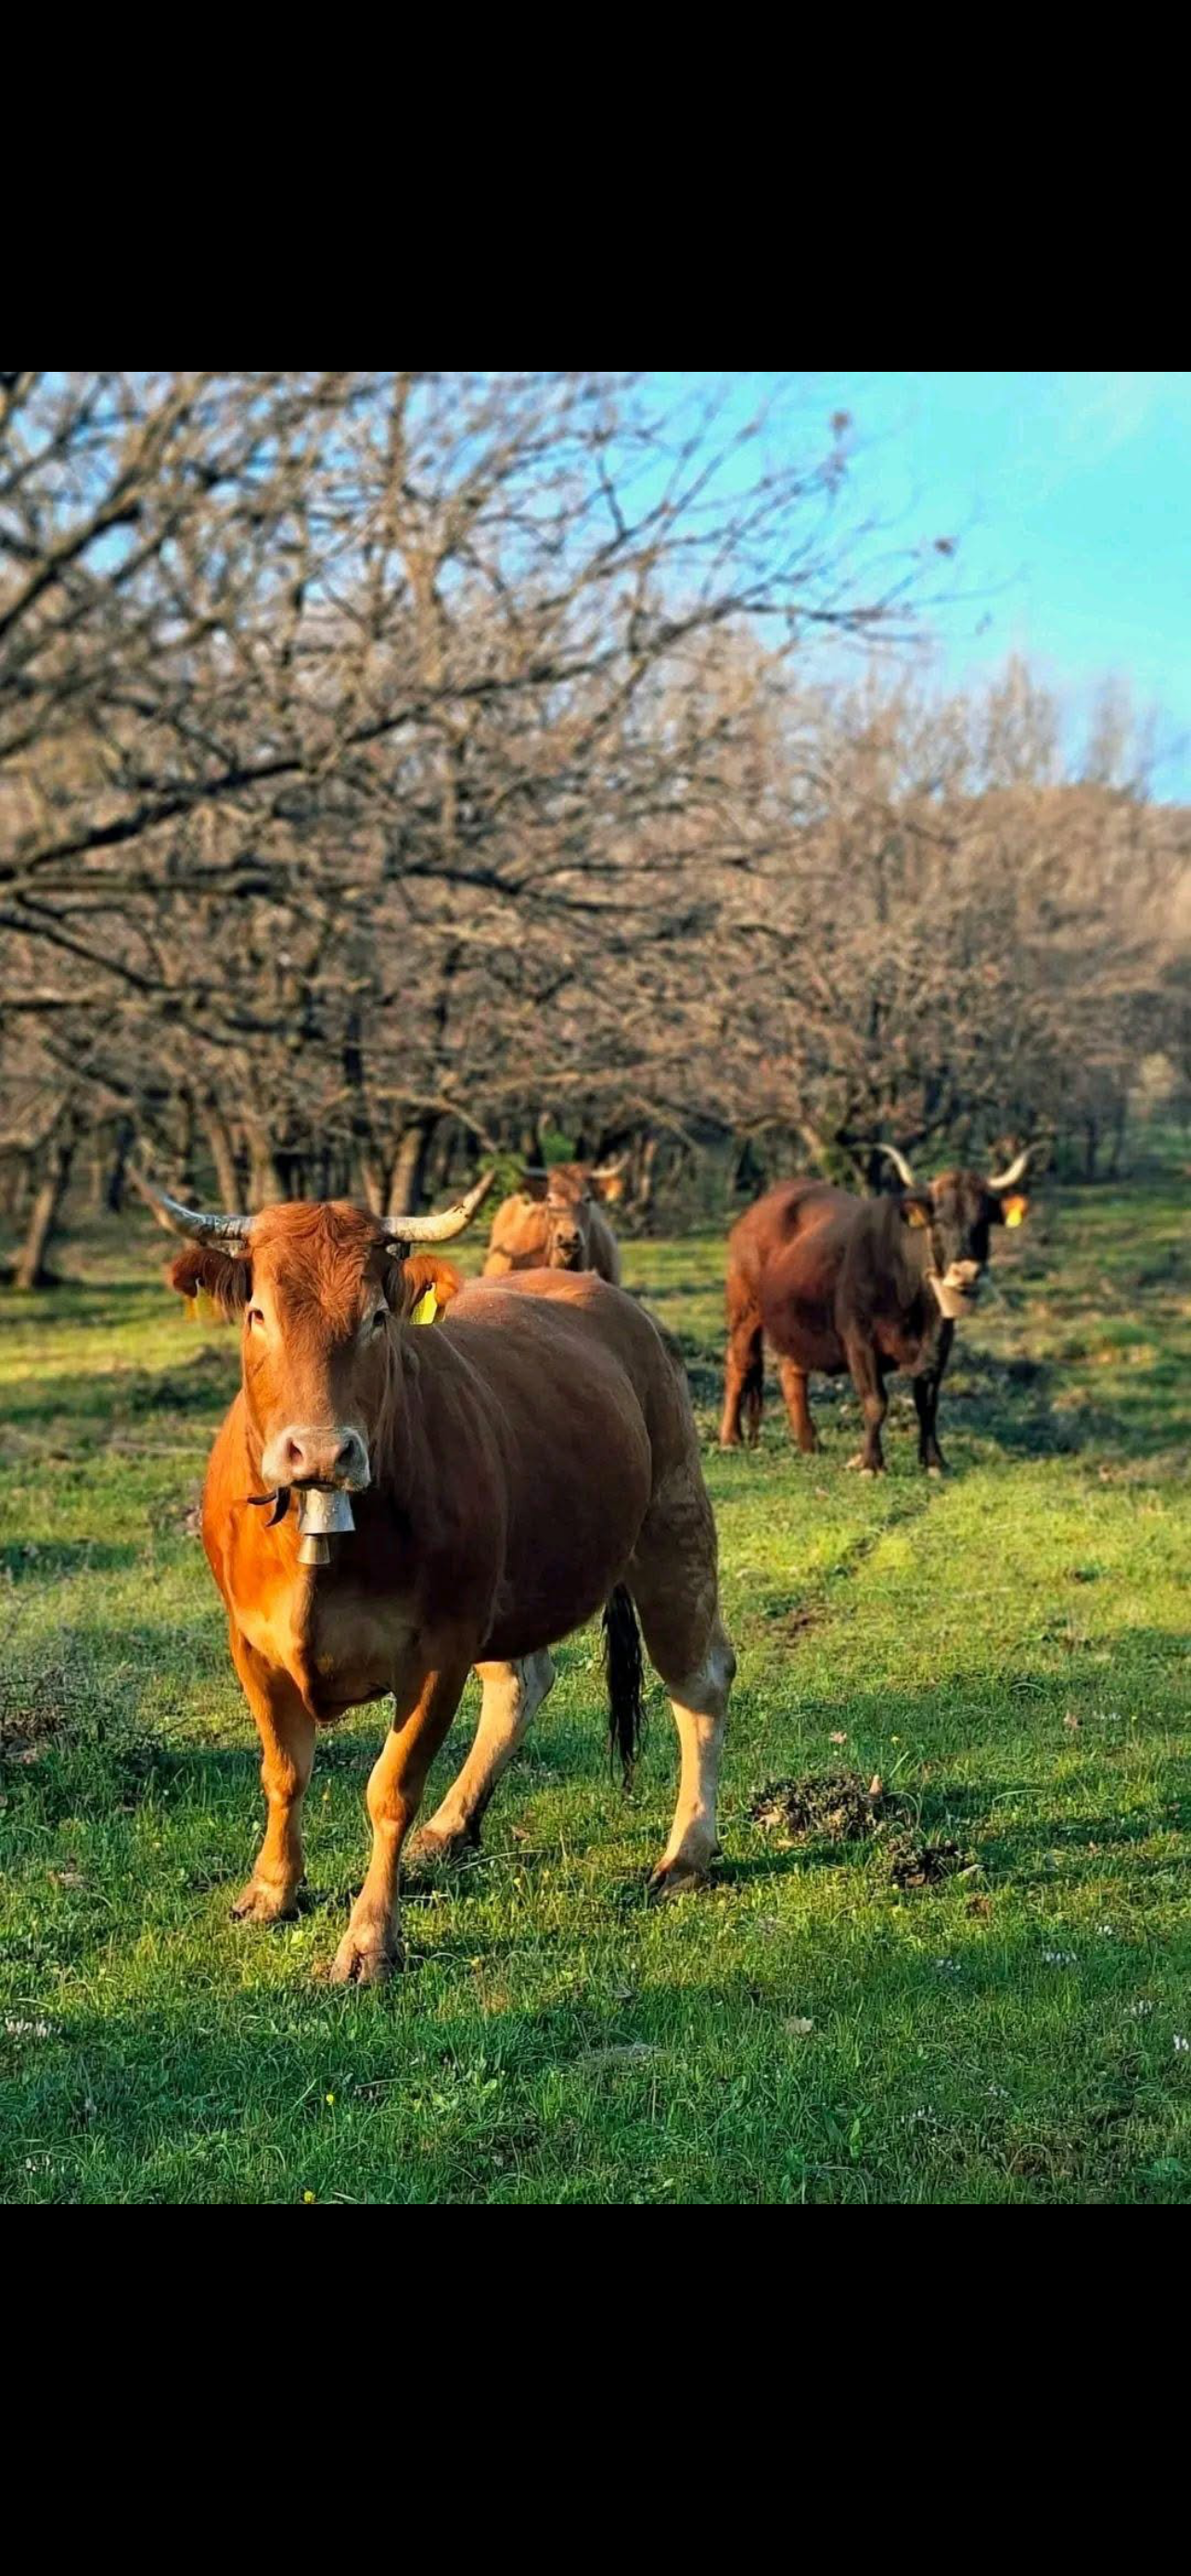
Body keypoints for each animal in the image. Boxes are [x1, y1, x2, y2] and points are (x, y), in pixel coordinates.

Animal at [148, 1175, 733, 1984]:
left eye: (377, 1317)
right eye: (259, 1313)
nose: (320, 1451)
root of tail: (611, 1300)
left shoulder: (438, 1649)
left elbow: (389, 1789)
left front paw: (369, 1937)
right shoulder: (252, 1642)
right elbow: (284, 1771)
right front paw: (270, 1891)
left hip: (673, 1521)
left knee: (698, 1682)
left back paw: (686, 1856)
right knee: (523, 1683)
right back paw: (451, 1828)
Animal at [719, 1144, 1032, 1474]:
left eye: (982, 1222)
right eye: (939, 1221)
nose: (966, 1273)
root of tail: (755, 1212)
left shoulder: (939, 1347)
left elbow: (928, 1405)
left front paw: (934, 1460)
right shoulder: (859, 1343)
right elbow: (875, 1401)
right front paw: (871, 1463)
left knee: (792, 1372)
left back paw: (809, 1444)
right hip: (745, 1311)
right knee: (738, 1364)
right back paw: (730, 1437)